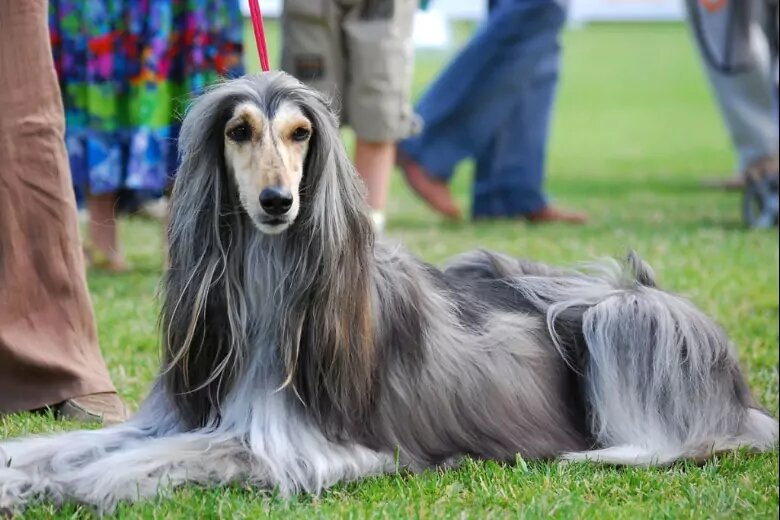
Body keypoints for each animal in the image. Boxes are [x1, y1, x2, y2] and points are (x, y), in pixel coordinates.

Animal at [0, 73, 776, 512]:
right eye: (239, 130)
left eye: (301, 133)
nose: (278, 202)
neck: (270, 285)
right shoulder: (176, 416)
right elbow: (70, 444)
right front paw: (26, 474)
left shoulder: (304, 448)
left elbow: (160, 458)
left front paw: (89, 484)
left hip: (630, 318)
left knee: (687, 437)